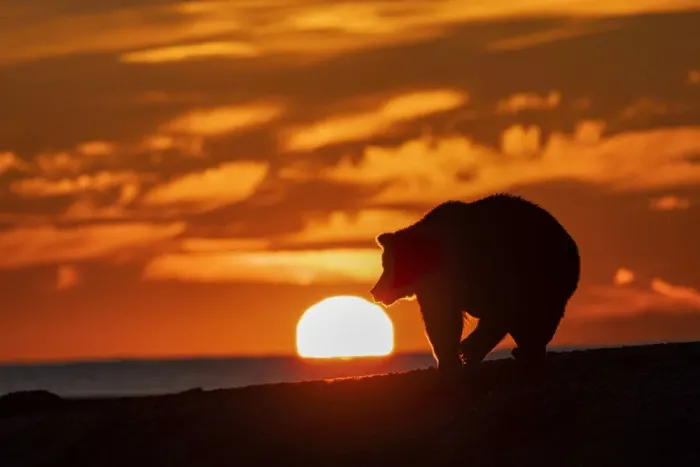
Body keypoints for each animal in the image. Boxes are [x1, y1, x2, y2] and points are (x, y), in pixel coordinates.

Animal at [369, 193, 580, 372]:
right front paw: (451, 359)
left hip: (548, 273)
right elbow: (439, 321)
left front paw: (465, 351)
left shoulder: (489, 270)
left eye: (387, 266)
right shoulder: (434, 289)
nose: (375, 291)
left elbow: (491, 313)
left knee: (539, 315)